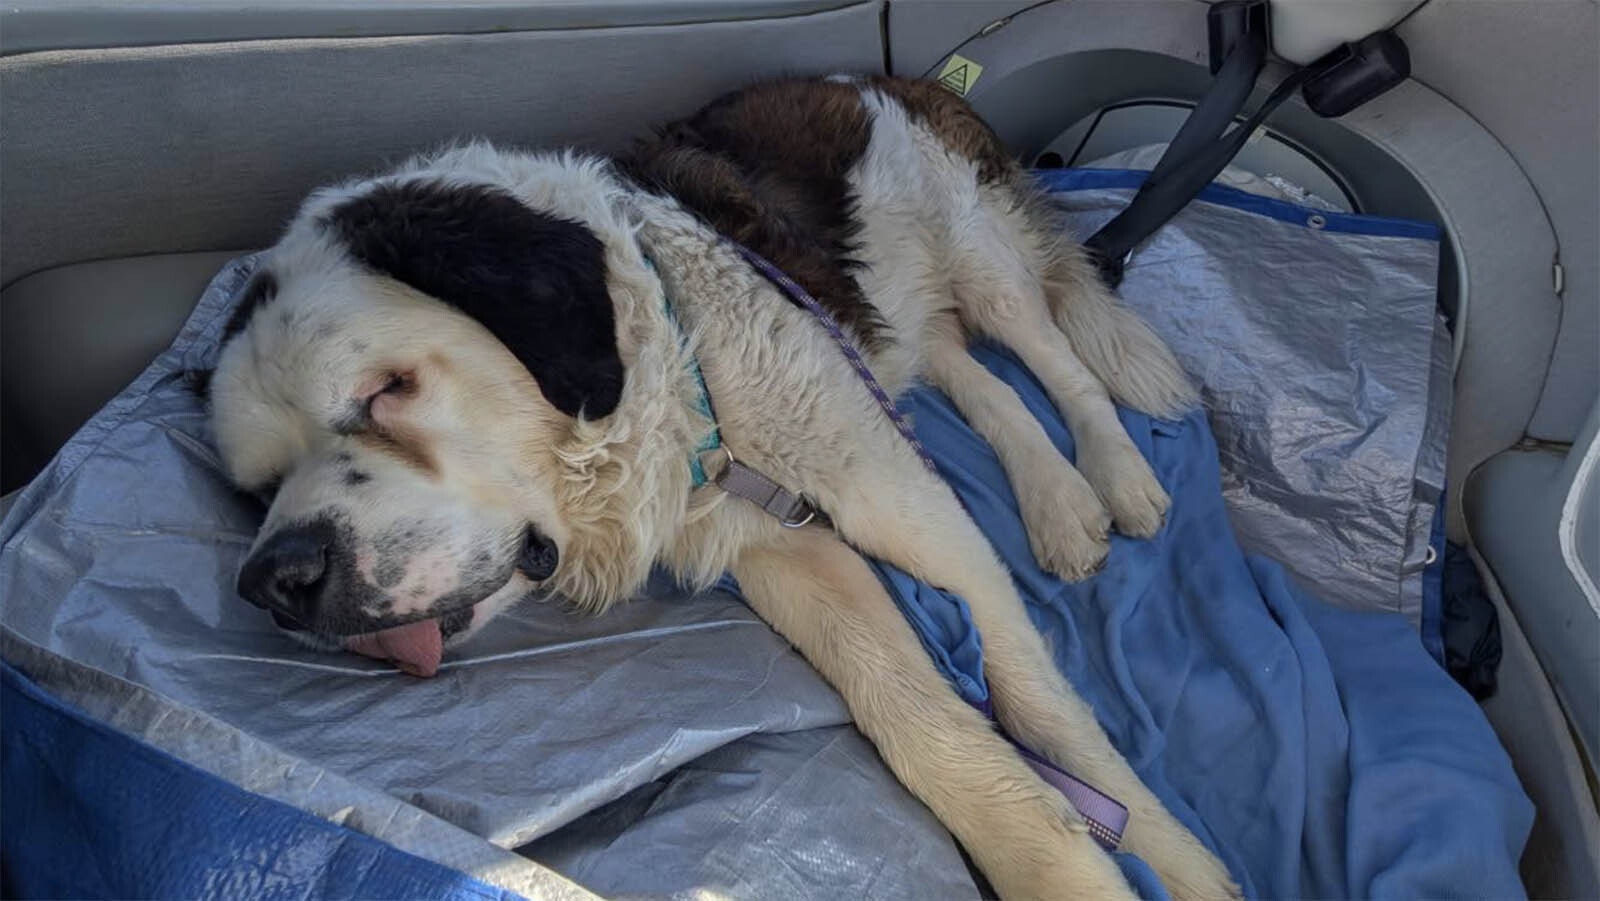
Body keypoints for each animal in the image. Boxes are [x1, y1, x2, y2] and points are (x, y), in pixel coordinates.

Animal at [209, 77, 1235, 901]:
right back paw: (1059, 501)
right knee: (975, 377)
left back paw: (1114, 476)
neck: (677, 351)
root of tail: (888, 77)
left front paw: (1174, 863)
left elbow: (1048, 715)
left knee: (1057, 359)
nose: (278, 579)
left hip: (981, 256)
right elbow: (912, 714)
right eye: (259, 488)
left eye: (386, 392)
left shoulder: (905, 508)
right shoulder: (784, 544)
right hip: (893, 321)